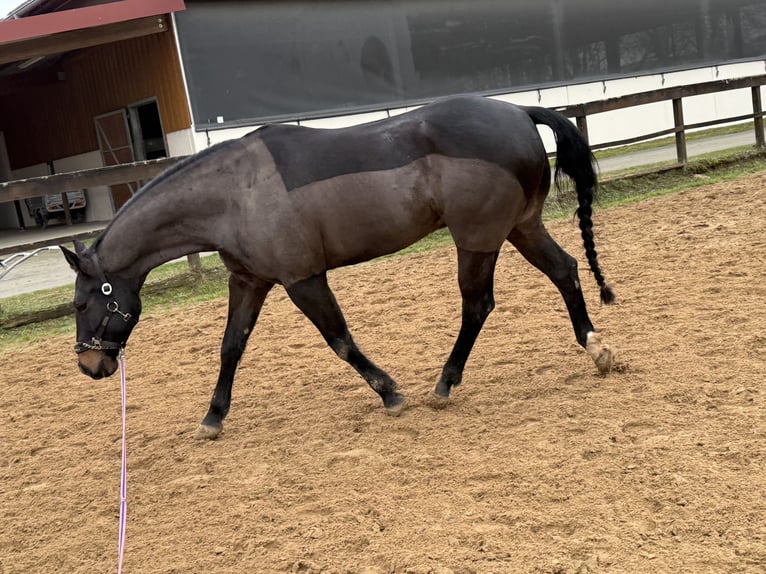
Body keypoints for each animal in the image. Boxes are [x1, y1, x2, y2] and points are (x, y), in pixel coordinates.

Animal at [61, 95, 617, 440]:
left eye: (83, 303)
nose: (91, 366)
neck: (233, 193)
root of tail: (519, 111)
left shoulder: (303, 280)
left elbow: (340, 340)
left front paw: (391, 393)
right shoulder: (250, 281)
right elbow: (231, 347)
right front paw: (212, 417)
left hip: (478, 241)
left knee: (478, 304)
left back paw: (444, 384)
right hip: (521, 227)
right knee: (566, 270)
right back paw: (597, 349)